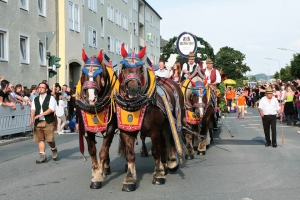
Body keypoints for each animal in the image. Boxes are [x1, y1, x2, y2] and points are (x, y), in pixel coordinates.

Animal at [75, 48, 119, 189]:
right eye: (83, 73)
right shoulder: (86, 128)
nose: (91, 98)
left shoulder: (110, 127)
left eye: (99, 73)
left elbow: (103, 151)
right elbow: (92, 150)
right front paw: (95, 172)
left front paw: (98, 177)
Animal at [115, 44, 185, 191]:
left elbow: (156, 151)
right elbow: (130, 155)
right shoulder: (126, 131)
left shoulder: (154, 131)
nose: (133, 89)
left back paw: (171, 162)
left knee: (170, 139)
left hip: (172, 121)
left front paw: (158, 174)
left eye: (141, 69)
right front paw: (129, 179)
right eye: (123, 68)